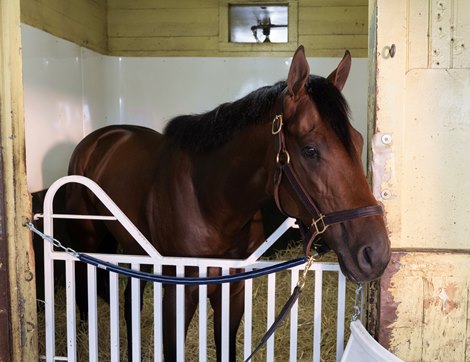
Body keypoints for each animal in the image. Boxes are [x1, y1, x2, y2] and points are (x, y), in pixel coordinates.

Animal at [65, 46, 390, 360]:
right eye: (310, 150)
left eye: (359, 142)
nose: (376, 254)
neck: (209, 201)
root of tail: (99, 139)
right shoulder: (178, 293)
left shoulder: (232, 292)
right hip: (86, 241)